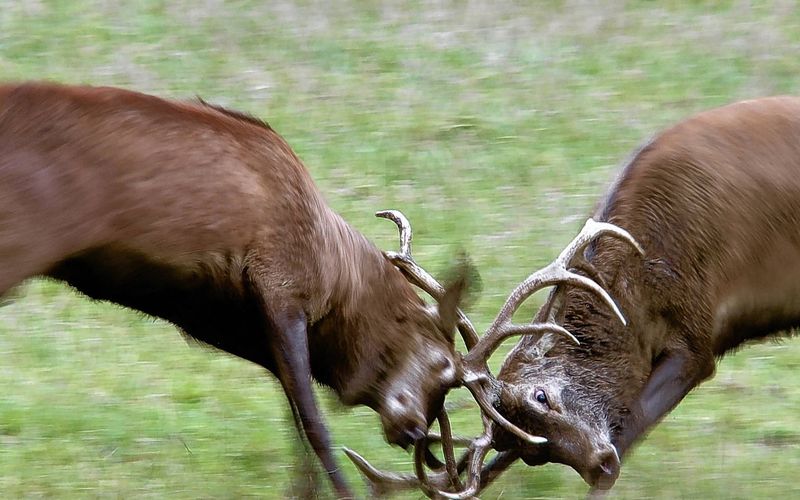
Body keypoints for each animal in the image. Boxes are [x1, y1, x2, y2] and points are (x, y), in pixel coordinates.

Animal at [0, 81, 476, 496]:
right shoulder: (282, 289)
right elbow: (317, 427)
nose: (415, 432)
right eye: (443, 366)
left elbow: (295, 420)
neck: (336, 280)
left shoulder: (240, 323)